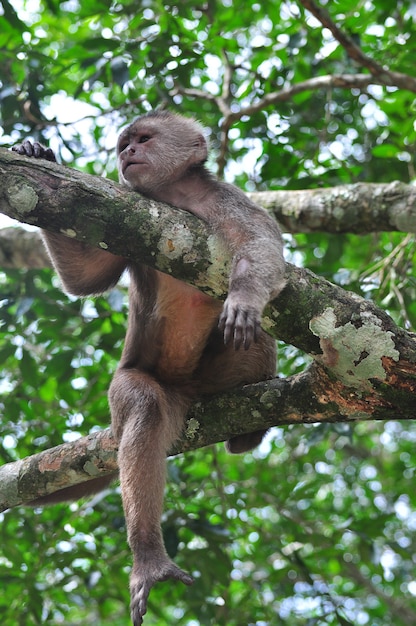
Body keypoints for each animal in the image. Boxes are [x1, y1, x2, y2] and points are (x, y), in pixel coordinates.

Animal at [12, 112, 286, 624]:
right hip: (146, 380)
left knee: (257, 339)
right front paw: (38, 155)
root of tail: (186, 389)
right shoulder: (127, 217)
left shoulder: (228, 199)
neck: (175, 198)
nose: (127, 154)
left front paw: (243, 298)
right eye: (124, 145)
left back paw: (247, 433)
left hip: (211, 376)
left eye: (143, 139)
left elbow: (263, 249)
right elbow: (84, 279)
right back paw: (148, 556)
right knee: (144, 408)